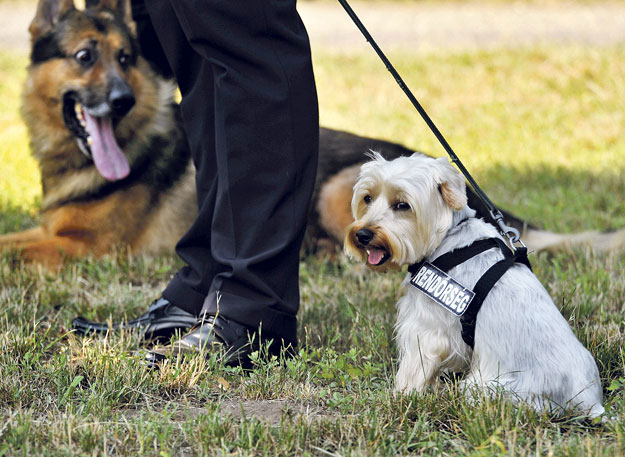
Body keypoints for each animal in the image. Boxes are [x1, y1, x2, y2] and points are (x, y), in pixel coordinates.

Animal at [2, 0, 620, 268]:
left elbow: (10, 251)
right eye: (85, 56)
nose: (121, 101)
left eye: (127, 59)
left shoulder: (87, 248)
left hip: (336, 192)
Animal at [344, 152, 604, 416]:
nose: (362, 234)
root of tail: (589, 404)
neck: (447, 235)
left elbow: (414, 368)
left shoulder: (424, 329)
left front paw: (401, 396)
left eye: (402, 205)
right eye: (367, 198)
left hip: (487, 387)